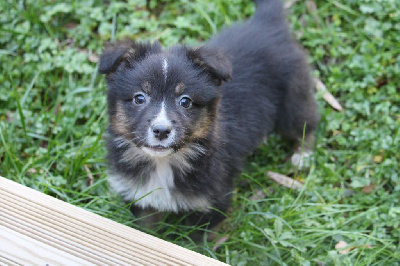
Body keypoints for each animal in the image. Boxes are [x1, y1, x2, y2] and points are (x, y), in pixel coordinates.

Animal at [99, 0, 318, 229]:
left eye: (185, 101)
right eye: (139, 98)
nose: (161, 131)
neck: (164, 163)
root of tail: (266, 22)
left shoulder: (211, 204)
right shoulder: (141, 198)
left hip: (291, 101)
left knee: (307, 122)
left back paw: (303, 155)